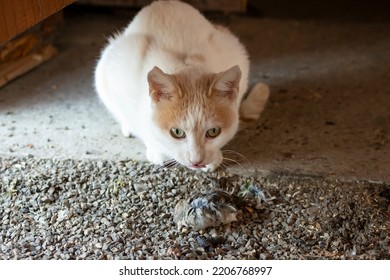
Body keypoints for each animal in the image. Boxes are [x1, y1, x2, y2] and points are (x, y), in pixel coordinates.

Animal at [94, 0, 268, 172]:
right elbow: (141, 126)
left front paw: (214, 157)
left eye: (213, 132)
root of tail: (164, 2)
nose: (196, 161)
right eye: (176, 132)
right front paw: (156, 149)